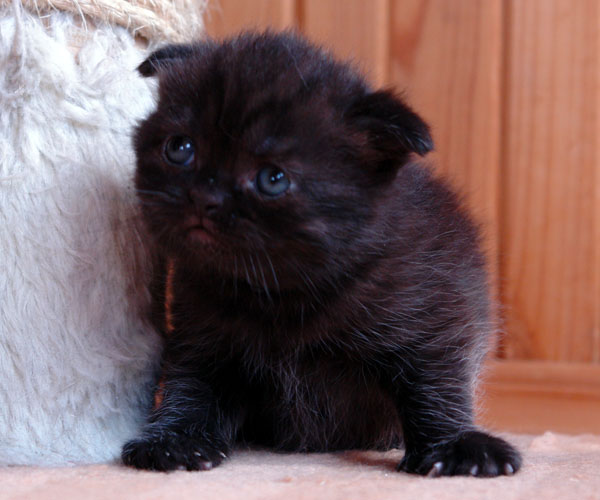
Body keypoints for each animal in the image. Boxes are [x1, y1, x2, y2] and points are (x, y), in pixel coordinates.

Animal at [122, 31, 522, 477]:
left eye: (273, 178)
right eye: (180, 147)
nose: (204, 198)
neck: (279, 294)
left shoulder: (434, 315)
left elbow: (435, 386)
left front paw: (455, 446)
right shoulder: (201, 333)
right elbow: (191, 387)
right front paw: (176, 440)